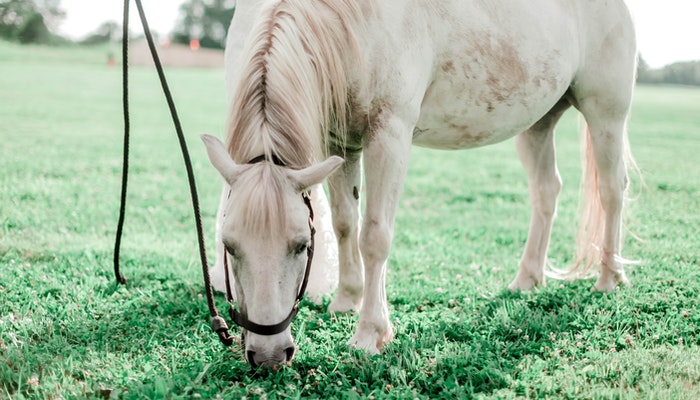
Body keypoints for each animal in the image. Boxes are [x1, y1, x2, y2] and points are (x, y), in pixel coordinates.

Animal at [201, 0, 636, 368]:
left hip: (606, 114)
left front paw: (369, 333)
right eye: (229, 245)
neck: (349, 21)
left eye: (301, 246)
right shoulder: (341, 143)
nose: (268, 355)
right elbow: (344, 224)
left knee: (612, 190)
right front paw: (346, 299)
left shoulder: (389, 134)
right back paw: (527, 279)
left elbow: (374, 236)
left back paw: (609, 278)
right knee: (546, 191)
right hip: (538, 124)